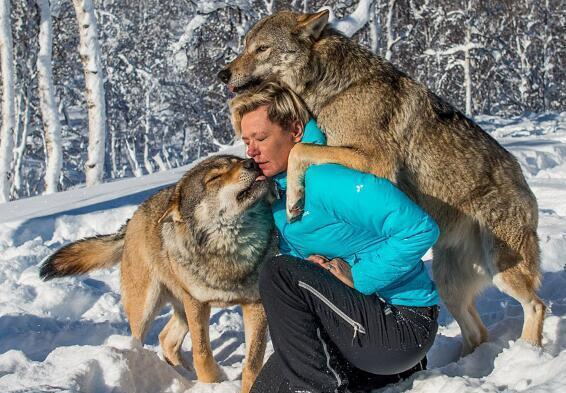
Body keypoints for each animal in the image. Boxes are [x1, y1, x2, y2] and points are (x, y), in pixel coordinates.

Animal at [39, 155, 276, 390]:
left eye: (238, 159)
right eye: (214, 178)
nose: (252, 162)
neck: (230, 253)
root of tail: (131, 220)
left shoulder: (255, 304)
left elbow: (253, 363)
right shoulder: (197, 302)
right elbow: (202, 353)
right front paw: (213, 383)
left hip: (180, 309)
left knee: (165, 338)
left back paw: (181, 372)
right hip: (148, 307)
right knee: (142, 339)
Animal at [217, 9, 544, 356]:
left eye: (262, 49)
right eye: (246, 45)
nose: (222, 73)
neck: (335, 90)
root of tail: (525, 185)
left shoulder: (376, 161)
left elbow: (299, 150)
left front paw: (294, 200)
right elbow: (302, 151)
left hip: (502, 269)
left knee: (536, 306)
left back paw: (529, 352)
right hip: (449, 284)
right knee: (478, 332)